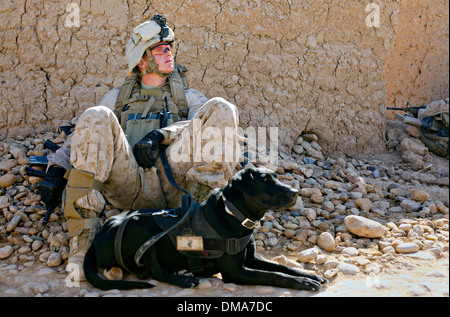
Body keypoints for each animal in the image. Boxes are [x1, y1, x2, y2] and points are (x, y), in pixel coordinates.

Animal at [82, 167, 326, 290]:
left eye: (276, 177)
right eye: (265, 180)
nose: (295, 193)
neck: (233, 214)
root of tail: (96, 240)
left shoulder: (251, 259)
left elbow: (281, 267)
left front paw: (308, 274)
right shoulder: (235, 271)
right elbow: (273, 275)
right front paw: (303, 282)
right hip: (141, 226)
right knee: (153, 270)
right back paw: (183, 279)